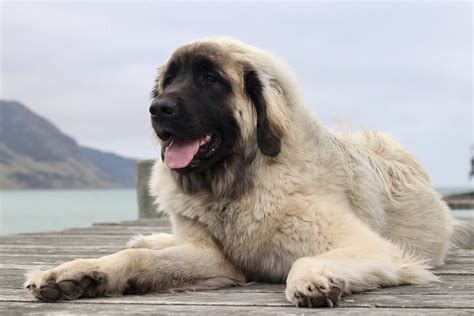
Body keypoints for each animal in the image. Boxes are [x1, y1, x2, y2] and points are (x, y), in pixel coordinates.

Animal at [23, 37, 470, 306]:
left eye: (209, 79)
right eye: (169, 80)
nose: (157, 108)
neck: (234, 186)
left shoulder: (372, 247)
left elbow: (305, 260)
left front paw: (315, 278)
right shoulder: (213, 256)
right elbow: (134, 258)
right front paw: (75, 275)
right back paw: (149, 237)